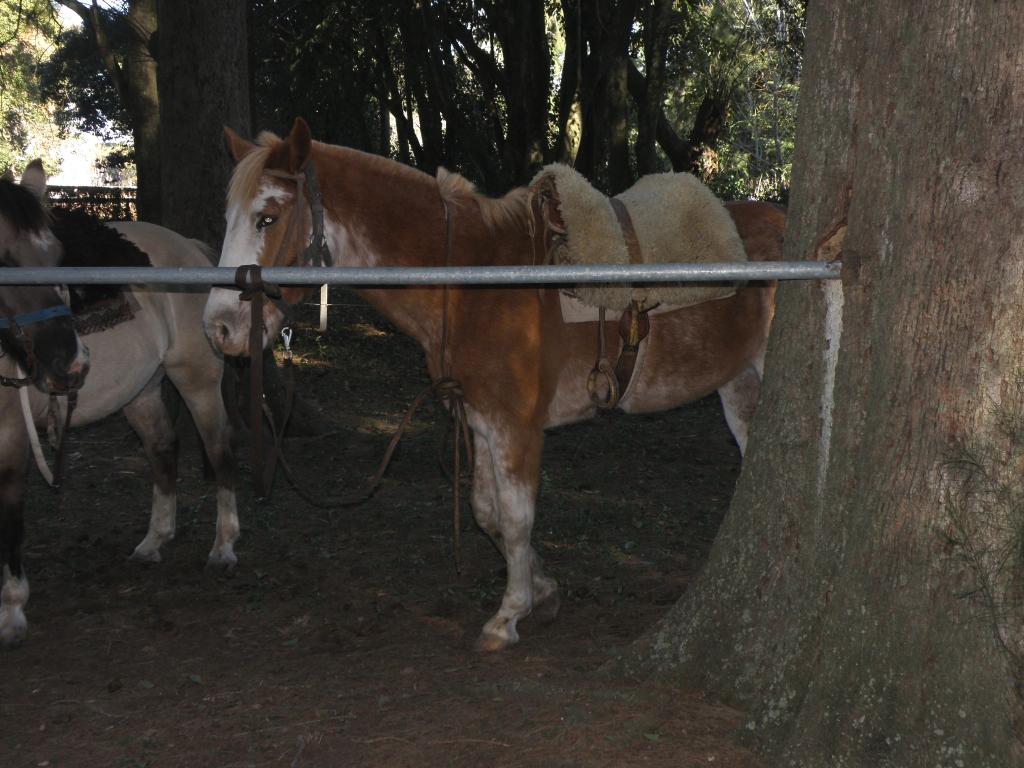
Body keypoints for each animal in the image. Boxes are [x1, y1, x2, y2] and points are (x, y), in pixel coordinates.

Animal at [203, 120, 782, 655]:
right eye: (228, 219)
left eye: (267, 218)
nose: (220, 328)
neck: (471, 280)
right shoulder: (479, 420)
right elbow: (487, 512)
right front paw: (543, 590)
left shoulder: (516, 428)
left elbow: (518, 518)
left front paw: (508, 616)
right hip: (740, 390)